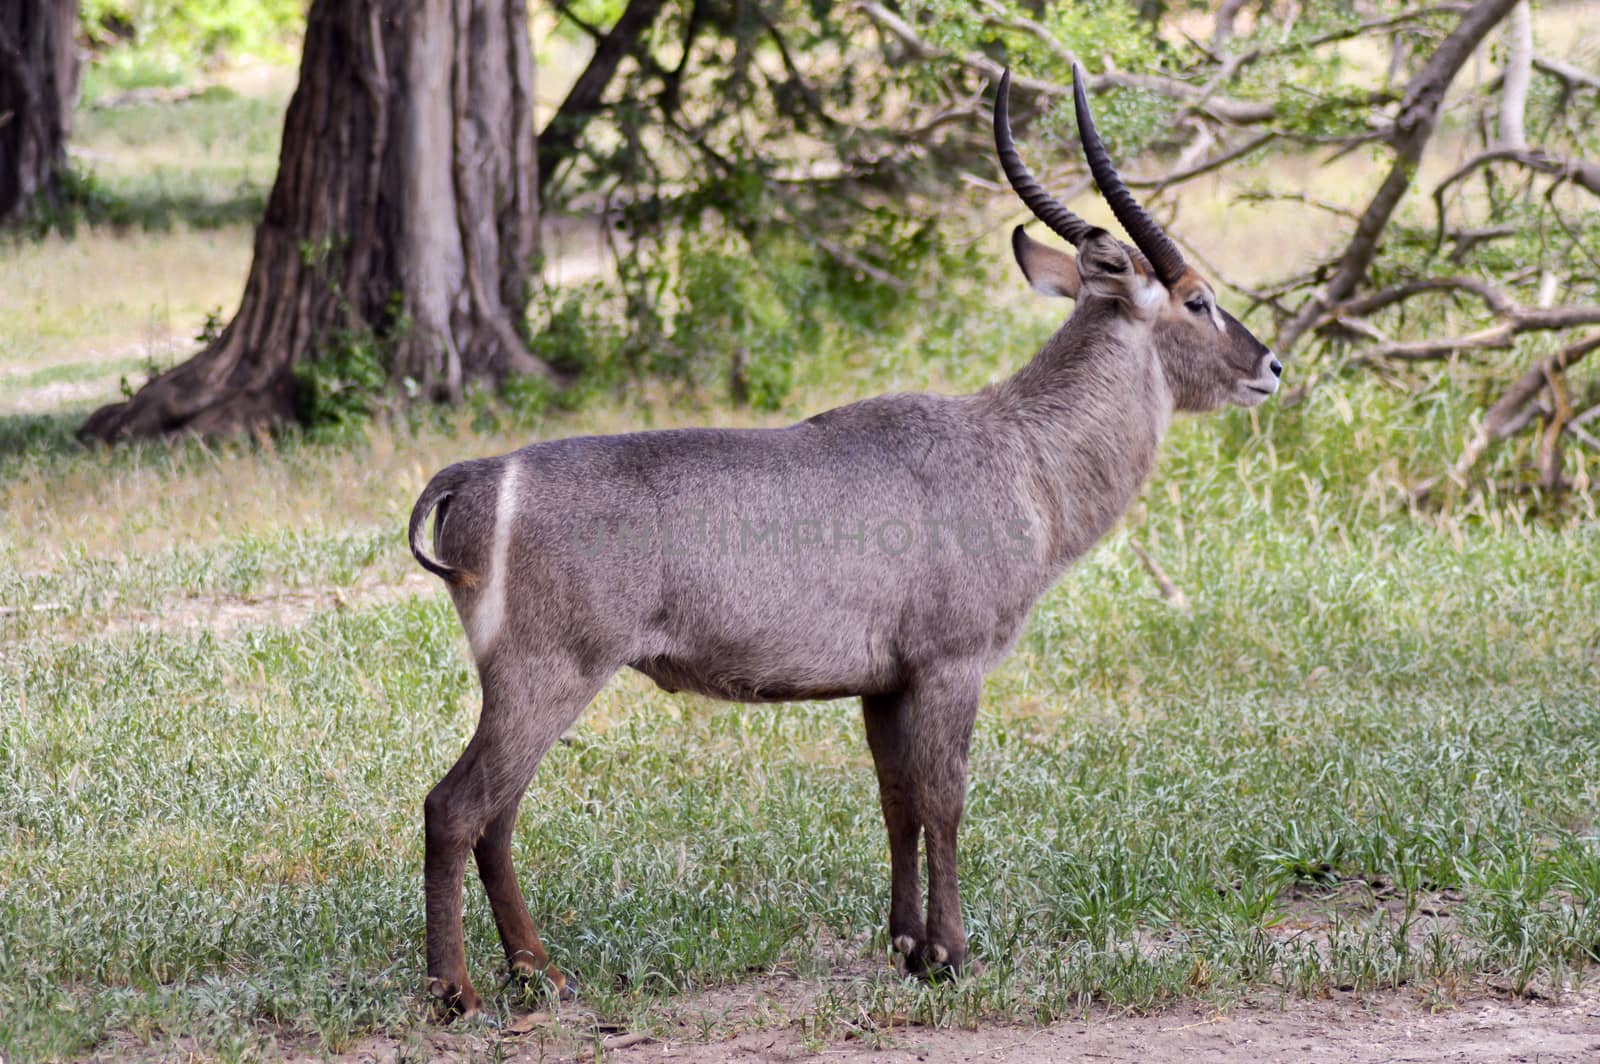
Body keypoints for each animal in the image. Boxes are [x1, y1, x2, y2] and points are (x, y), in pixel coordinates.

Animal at [409, 62, 1273, 1017]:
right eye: (1200, 299)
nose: (1270, 365)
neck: (1021, 453)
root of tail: (476, 475)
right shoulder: (950, 664)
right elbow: (945, 800)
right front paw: (955, 954)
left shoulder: (883, 682)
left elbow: (897, 800)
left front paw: (908, 947)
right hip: (549, 672)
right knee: (456, 807)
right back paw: (458, 991)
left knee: (496, 815)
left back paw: (540, 971)